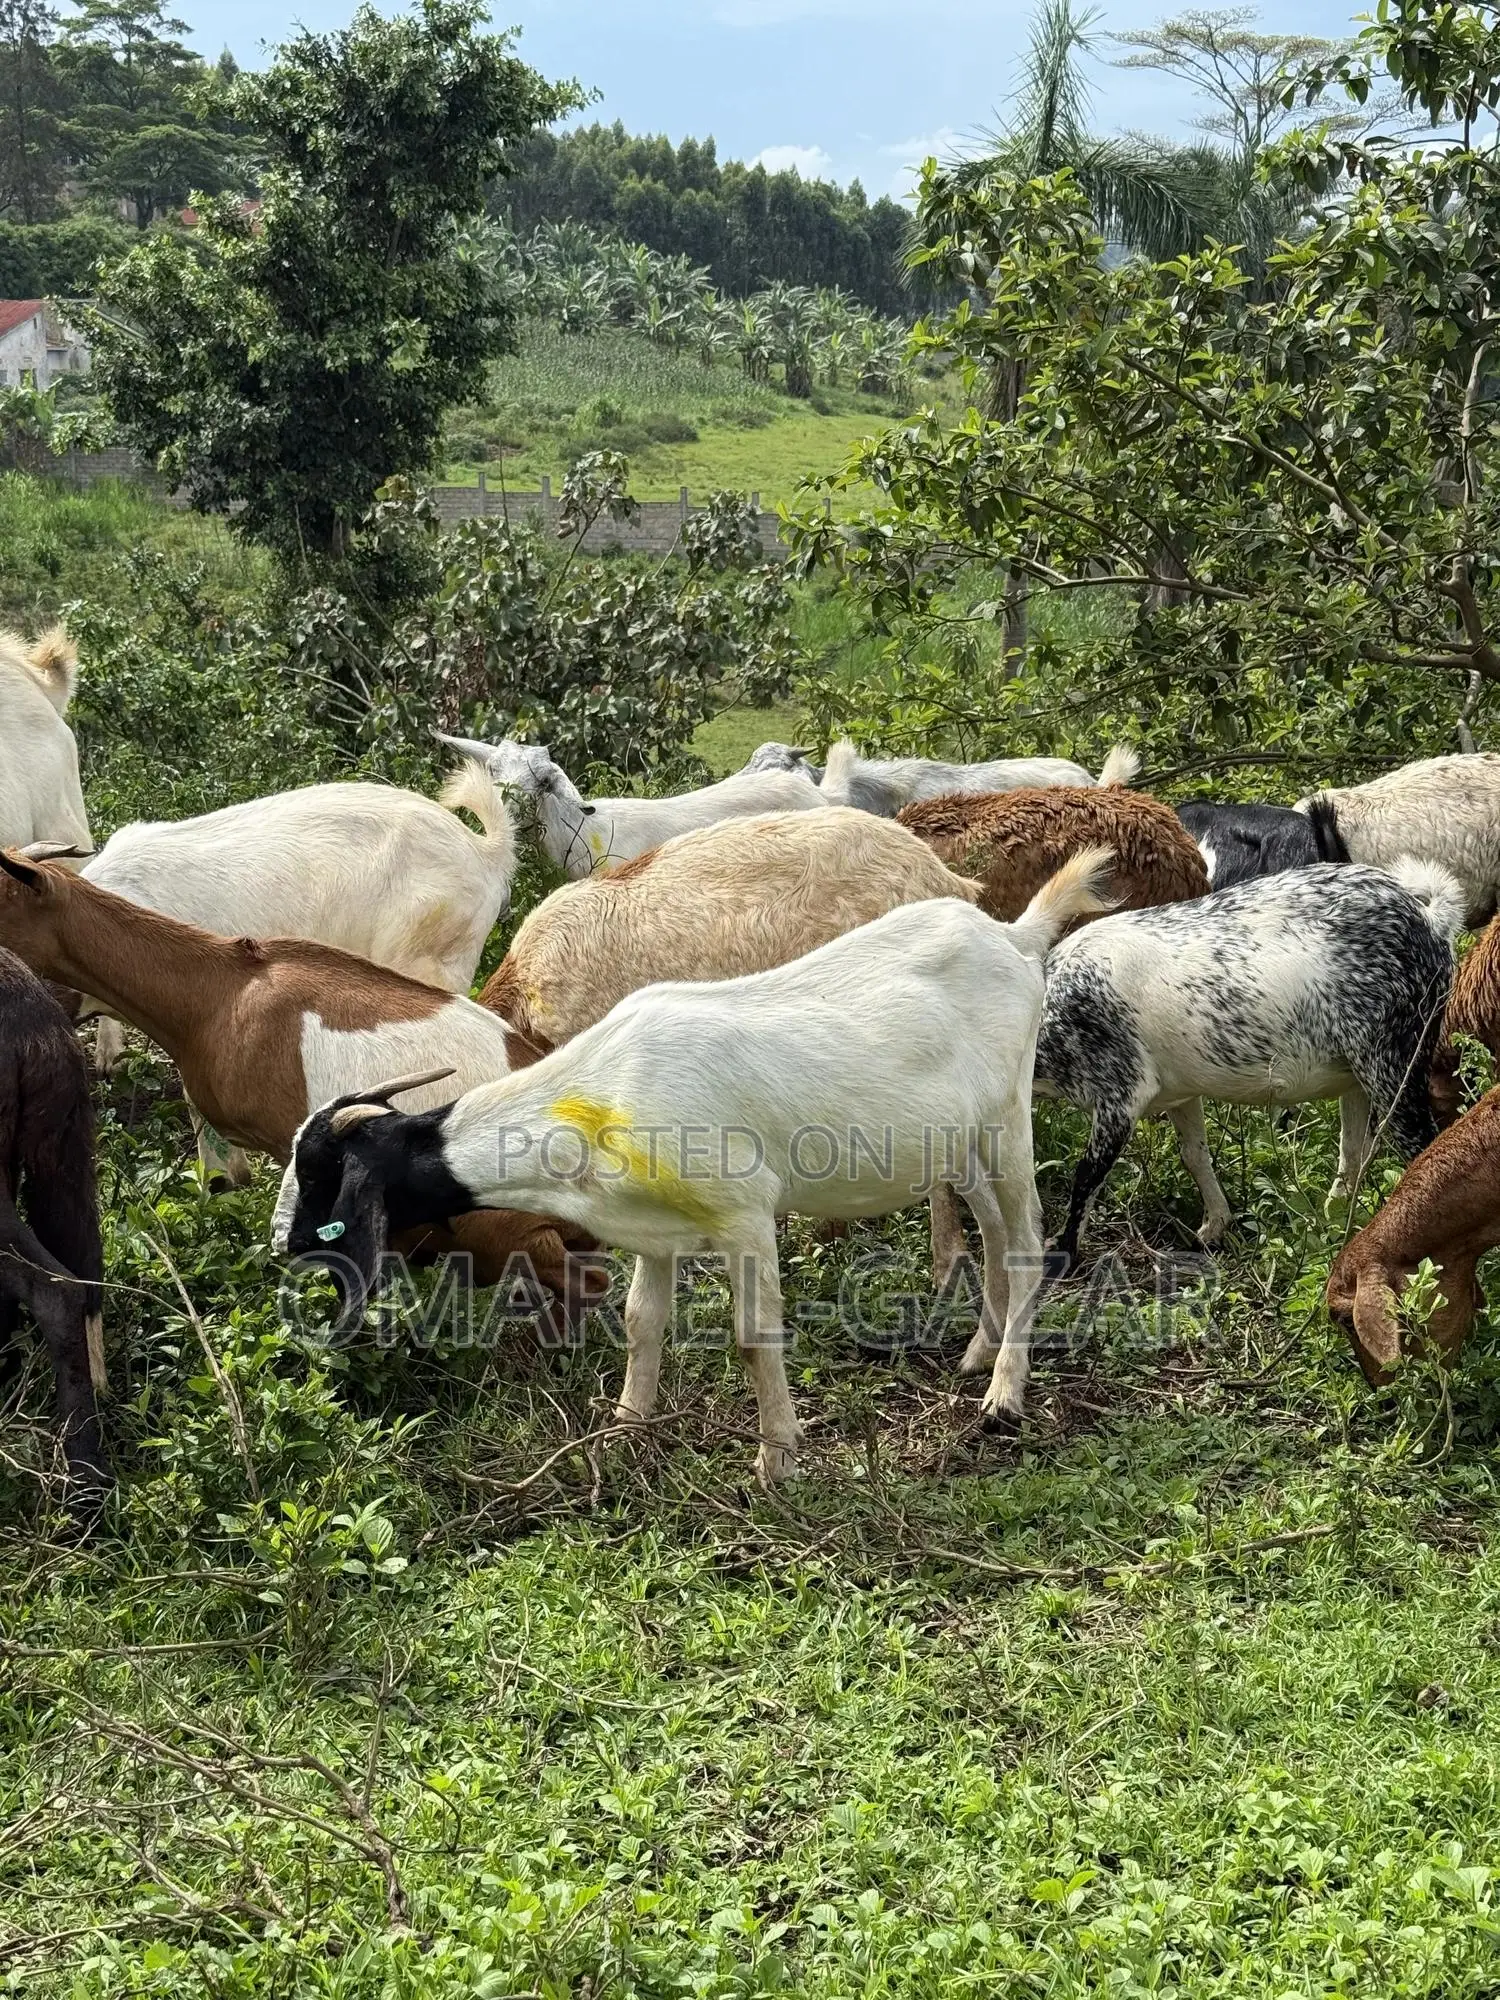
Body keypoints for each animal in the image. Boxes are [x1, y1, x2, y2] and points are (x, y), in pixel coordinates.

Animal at [277, 852, 1118, 1483]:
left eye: (322, 1179)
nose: (287, 1247)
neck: (602, 1090)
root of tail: (1014, 937)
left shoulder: (744, 1213)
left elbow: (754, 1335)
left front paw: (777, 1459)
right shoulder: (652, 1231)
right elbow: (639, 1321)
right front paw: (625, 1428)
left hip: (1009, 1115)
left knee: (1027, 1236)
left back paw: (1005, 1392)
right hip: (958, 1138)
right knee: (990, 1225)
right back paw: (978, 1353)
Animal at [1031, 860, 1463, 1259]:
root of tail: (1429, 918)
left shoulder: (1120, 1091)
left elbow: (1088, 1172)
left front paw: (1062, 1253)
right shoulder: (1180, 1091)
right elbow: (1194, 1155)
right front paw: (1213, 1227)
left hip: (1394, 1055)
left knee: (1420, 1143)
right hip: (1358, 1074)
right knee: (1354, 1149)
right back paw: (1333, 1219)